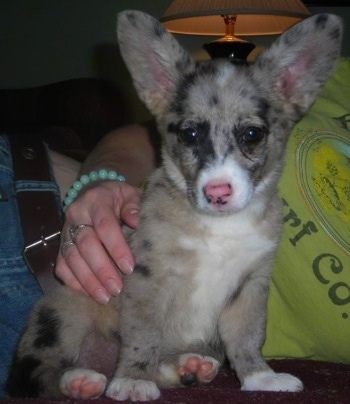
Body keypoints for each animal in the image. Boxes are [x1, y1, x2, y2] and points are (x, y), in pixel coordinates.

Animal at [6, 9, 344, 400]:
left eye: (252, 134)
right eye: (190, 134)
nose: (217, 193)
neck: (220, 227)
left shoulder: (251, 285)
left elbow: (247, 338)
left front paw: (260, 378)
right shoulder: (150, 279)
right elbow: (143, 336)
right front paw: (132, 379)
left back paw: (187, 366)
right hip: (63, 313)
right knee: (35, 374)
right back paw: (80, 379)